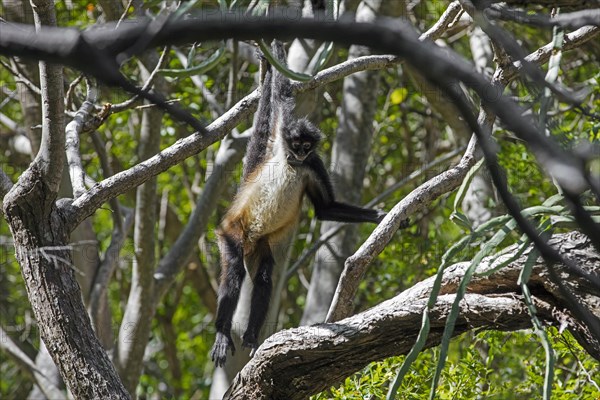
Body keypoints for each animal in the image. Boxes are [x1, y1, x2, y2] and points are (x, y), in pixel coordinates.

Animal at [210, 41, 384, 368]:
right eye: (295, 144)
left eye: (306, 147)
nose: (299, 154)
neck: (293, 162)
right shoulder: (282, 130)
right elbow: (280, 94)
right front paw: (275, 49)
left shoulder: (313, 164)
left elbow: (325, 208)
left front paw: (380, 215)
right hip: (232, 231)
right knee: (235, 270)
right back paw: (223, 334)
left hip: (261, 244)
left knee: (264, 277)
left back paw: (250, 337)